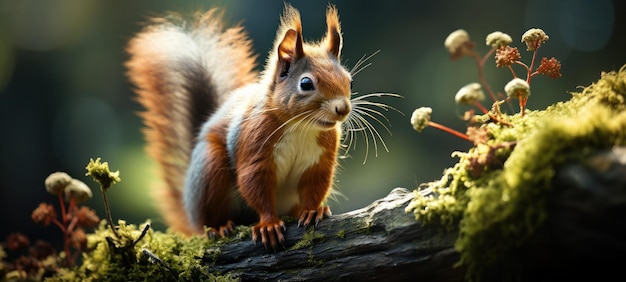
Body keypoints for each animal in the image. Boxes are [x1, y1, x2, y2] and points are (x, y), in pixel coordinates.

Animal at [125, 3, 356, 247]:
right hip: (209, 169)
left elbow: (316, 185)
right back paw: (218, 228)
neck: (301, 128)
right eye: (305, 83)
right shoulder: (254, 143)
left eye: (349, 81)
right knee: (210, 216)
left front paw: (313, 211)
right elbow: (254, 184)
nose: (343, 108)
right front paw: (268, 224)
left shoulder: (318, 161)